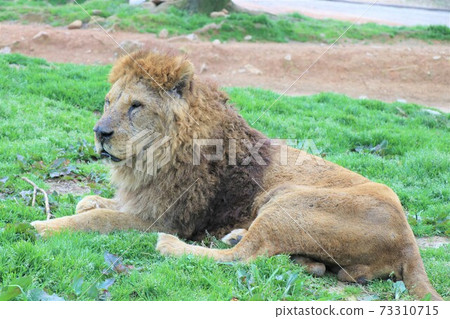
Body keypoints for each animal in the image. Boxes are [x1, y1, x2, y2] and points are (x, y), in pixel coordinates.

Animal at [29, 51, 442, 302]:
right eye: (107, 102)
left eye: (136, 106)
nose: (100, 132)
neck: (151, 157)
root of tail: (409, 241)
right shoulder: (142, 200)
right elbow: (90, 203)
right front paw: (82, 205)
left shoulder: (166, 219)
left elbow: (97, 218)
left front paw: (42, 227)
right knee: (290, 260)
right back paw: (250, 240)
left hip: (286, 203)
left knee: (242, 257)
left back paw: (175, 247)